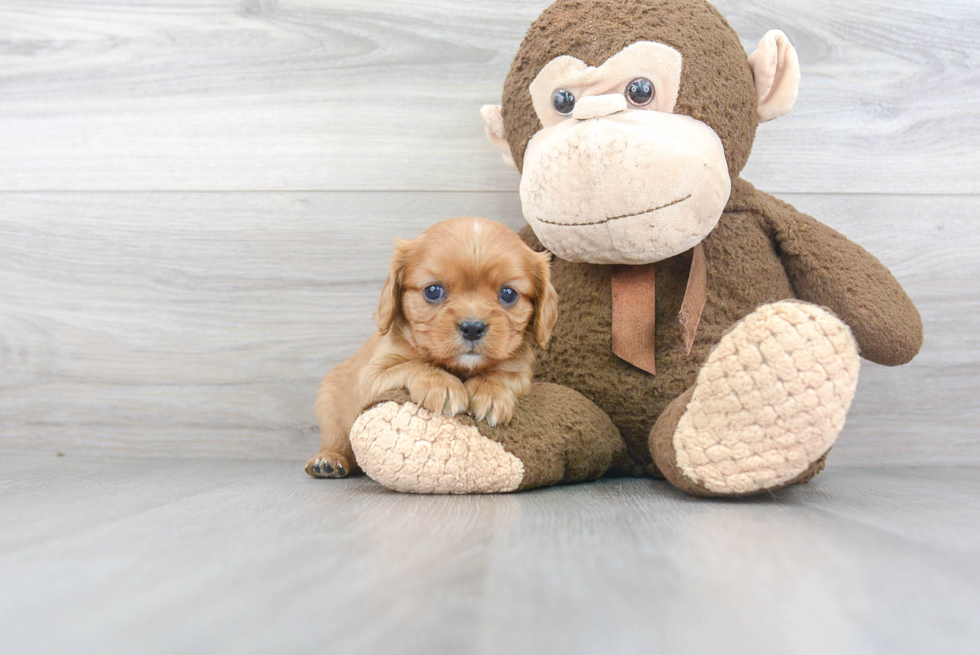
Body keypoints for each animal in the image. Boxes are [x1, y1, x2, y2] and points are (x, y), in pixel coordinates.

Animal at [306, 218, 560, 480]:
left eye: (508, 294)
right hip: (329, 409)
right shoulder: (370, 377)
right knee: (336, 441)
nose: (472, 327)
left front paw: (490, 392)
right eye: (433, 291)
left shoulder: (521, 374)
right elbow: (415, 364)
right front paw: (442, 384)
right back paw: (328, 461)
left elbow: (499, 374)